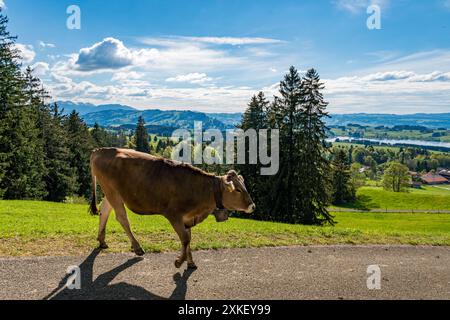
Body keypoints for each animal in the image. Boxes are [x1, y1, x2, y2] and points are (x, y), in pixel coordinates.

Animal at [89, 149, 255, 268]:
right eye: (238, 190)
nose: (252, 206)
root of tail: (101, 150)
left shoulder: (188, 218)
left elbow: (189, 238)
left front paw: (190, 262)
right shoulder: (173, 215)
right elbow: (185, 238)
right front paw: (179, 262)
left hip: (111, 192)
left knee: (104, 210)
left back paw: (102, 241)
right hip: (112, 191)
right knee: (122, 217)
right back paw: (137, 247)